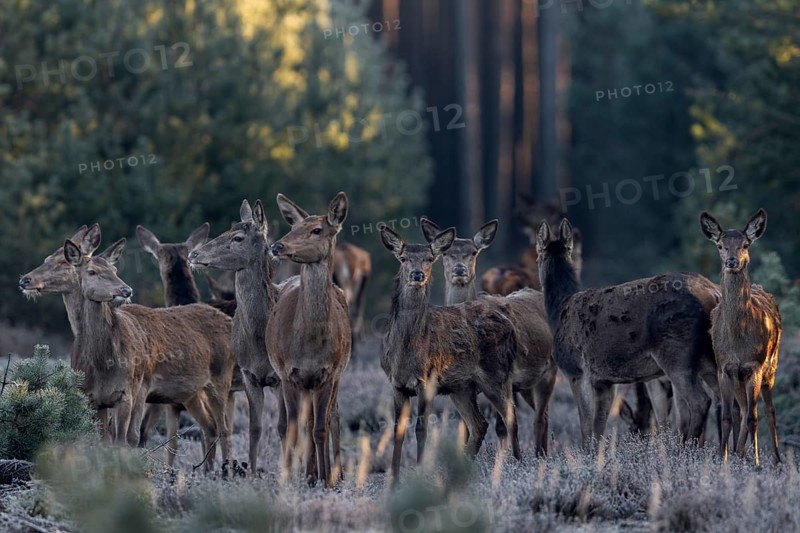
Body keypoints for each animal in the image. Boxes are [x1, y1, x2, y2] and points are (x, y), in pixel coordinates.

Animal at [265, 192, 352, 488]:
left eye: (316, 230)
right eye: (292, 226)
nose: (277, 246)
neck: (310, 346)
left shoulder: (327, 373)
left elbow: (320, 428)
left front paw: (326, 480)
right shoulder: (288, 373)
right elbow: (293, 428)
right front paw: (290, 478)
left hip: (336, 376)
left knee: (333, 416)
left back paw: (333, 474)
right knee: (300, 423)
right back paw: (308, 473)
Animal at [379, 225, 521, 485]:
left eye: (429, 259)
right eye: (403, 258)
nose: (417, 274)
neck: (404, 354)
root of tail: (510, 324)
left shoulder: (427, 380)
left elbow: (421, 429)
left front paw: (420, 475)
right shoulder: (396, 384)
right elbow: (398, 430)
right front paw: (393, 481)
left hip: (497, 375)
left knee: (510, 417)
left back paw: (519, 465)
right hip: (461, 387)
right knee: (479, 424)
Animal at [420, 217, 556, 454]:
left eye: (473, 252)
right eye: (446, 253)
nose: (459, 269)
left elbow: (502, 425)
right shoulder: (466, 386)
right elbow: (466, 427)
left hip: (550, 370)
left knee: (540, 417)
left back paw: (540, 455)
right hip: (526, 384)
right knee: (543, 415)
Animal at [535, 218, 721, 445]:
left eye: (537, 254)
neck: (558, 309)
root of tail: (713, 293)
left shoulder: (576, 369)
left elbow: (586, 429)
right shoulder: (605, 382)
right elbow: (598, 428)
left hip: (676, 354)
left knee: (700, 401)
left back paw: (688, 449)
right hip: (708, 357)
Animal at [699, 209, 782, 465]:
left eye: (745, 244)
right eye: (720, 245)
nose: (732, 261)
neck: (737, 340)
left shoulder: (754, 365)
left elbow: (755, 417)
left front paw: (756, 463)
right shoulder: (725, 368)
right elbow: (727, 416)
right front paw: (723, 459)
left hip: (770, 367)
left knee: (768, 411)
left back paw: (776, 460)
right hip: (740, 377)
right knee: (743, 410)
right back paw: (739, 453)